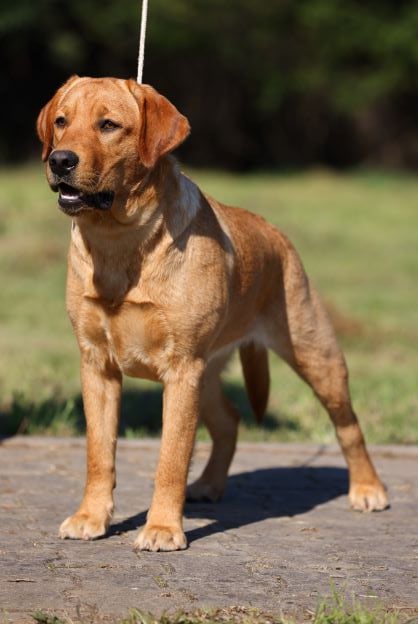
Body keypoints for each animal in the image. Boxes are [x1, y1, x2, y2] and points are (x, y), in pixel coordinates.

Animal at [37, 76, 388, 551]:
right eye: (61, 121)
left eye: (108, 125)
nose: (60, 160)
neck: (121, 241)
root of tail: (277, 236)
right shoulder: (97, 365)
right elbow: (99, 453)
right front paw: (91, 517)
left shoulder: (181, 369)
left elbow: (171, 457)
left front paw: (163, 528)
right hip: (207, 374)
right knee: (229, 422)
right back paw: (208, 484)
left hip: (316, 358)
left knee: (348, 426)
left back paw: (368, 489)